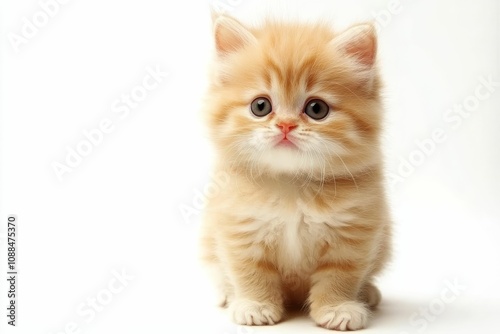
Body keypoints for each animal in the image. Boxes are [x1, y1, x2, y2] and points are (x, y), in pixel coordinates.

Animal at [199, 13, 390, 332]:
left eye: (316, 109)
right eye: (260, 106)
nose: (286, 125)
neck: (292, 185)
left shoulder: (353, 233)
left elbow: (341, 276)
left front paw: (337, 308)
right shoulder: (239, 227)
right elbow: (249, 271)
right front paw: (255, 305)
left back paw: (368, 294)